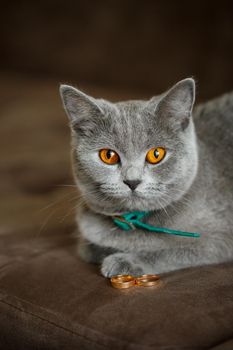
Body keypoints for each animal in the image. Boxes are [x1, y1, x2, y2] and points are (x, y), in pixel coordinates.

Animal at [59, 78, 233, 276]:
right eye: (108, 156)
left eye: (156, 154)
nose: (132, 181)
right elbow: (88, 247)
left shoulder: (220, 238)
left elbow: (174, 251)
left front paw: (124, 261)